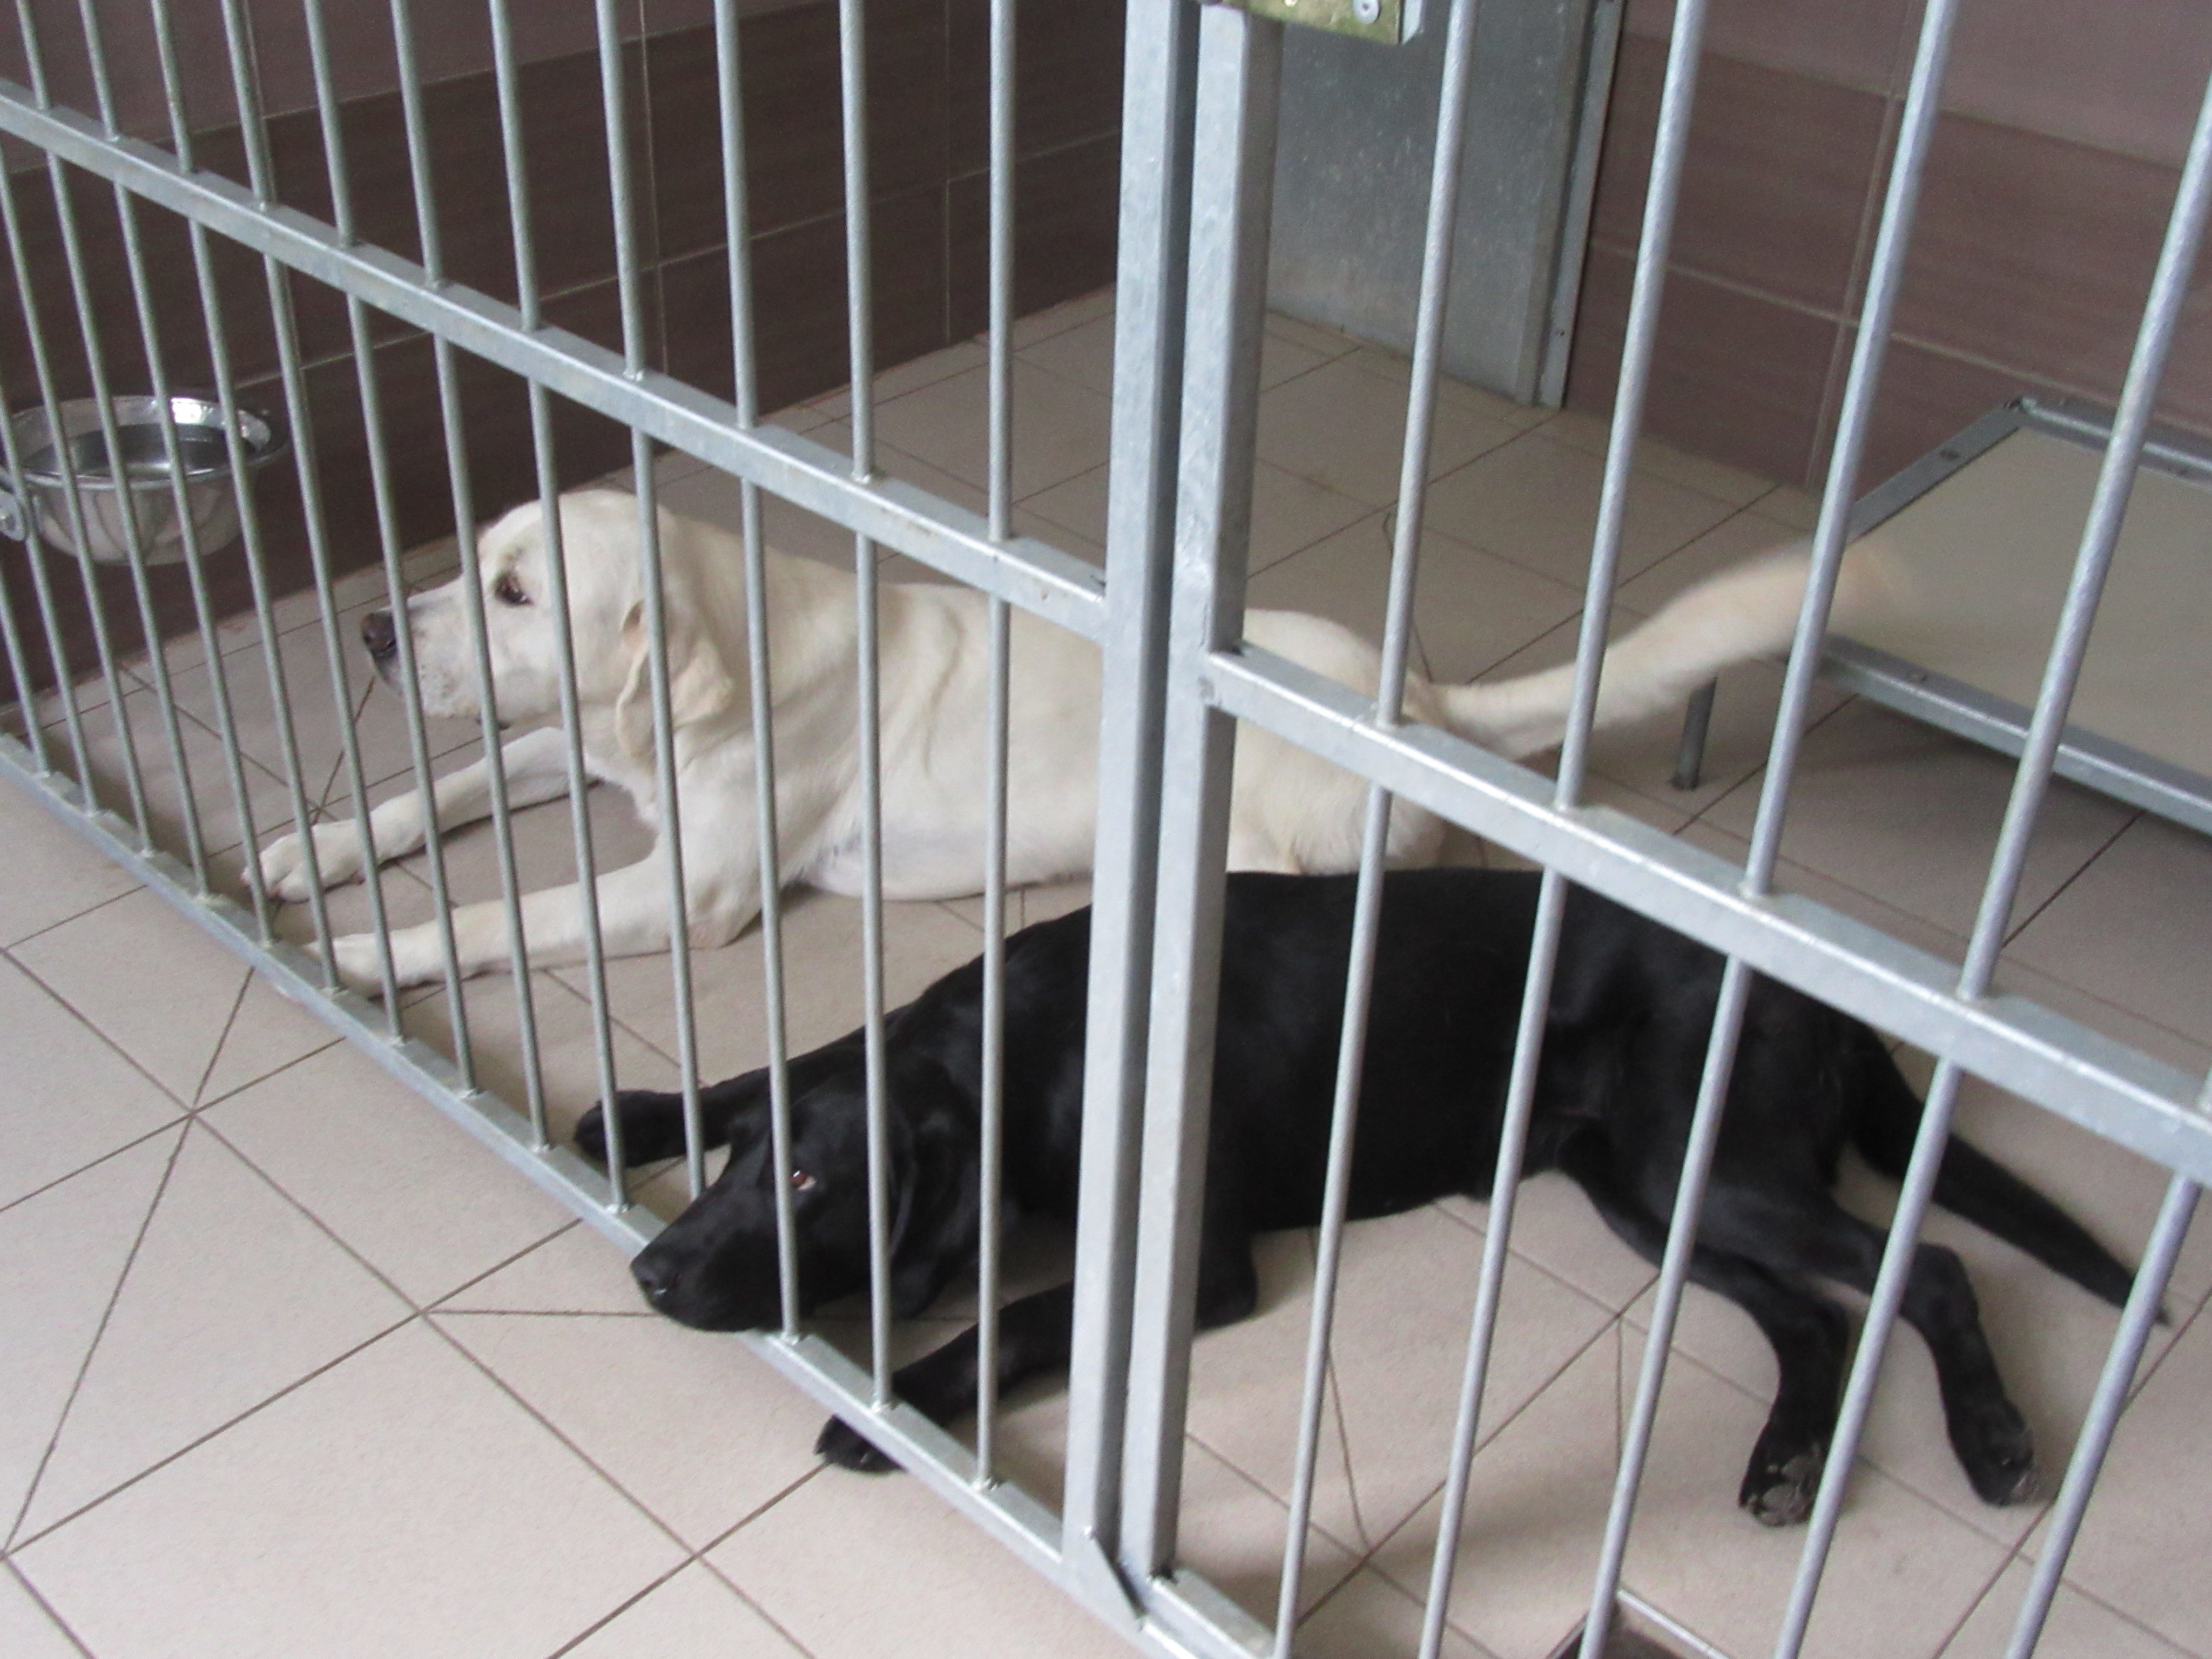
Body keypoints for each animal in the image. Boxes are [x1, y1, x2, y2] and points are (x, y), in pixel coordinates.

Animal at [258, 488, 1891, 990]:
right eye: (476, 559)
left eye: (519, 591)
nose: (377, 629)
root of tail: (1409, 705)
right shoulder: (585, 752)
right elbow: (448, 784)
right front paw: (314, 846)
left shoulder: (691, 889)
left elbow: (507, 911)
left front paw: (374, 950)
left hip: (1252, 856)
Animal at [582, 868, 2137, 1525]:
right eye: (744, 1163)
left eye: (808, 1181)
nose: (649, 1274)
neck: (1042, 1047)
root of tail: (1829, 996)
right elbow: (759, 1061)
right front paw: (640, 1111)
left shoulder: (1198, 1261)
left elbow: (1018, 1318)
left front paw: (892, 1406)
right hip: (1643, 1190)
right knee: (1815, 1320)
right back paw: (1783, 1462)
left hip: (1707, 1160)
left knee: (1930, 1269)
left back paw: (1993, 1440)